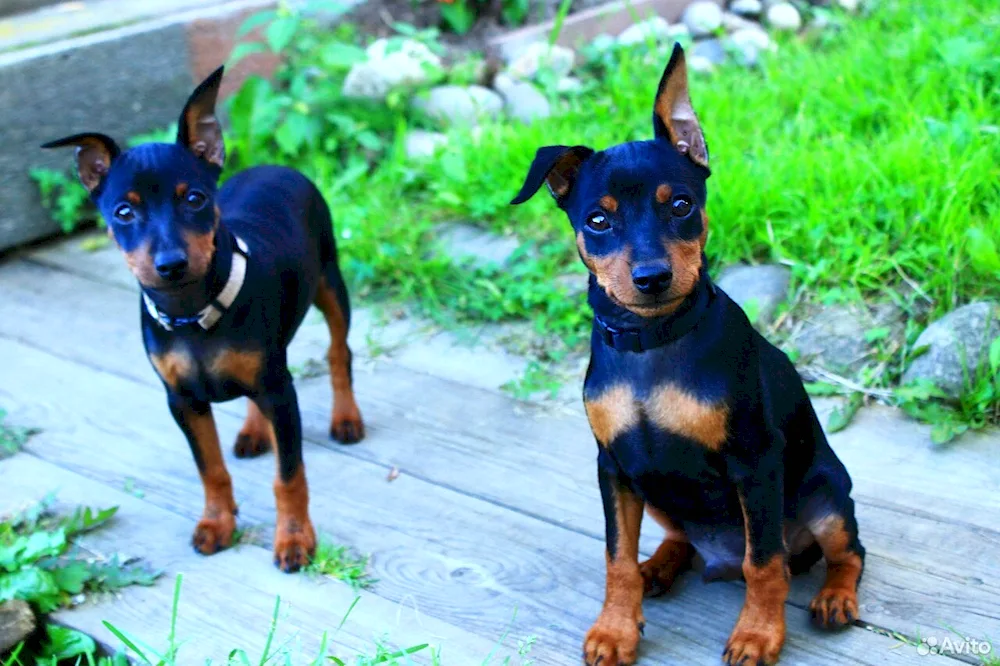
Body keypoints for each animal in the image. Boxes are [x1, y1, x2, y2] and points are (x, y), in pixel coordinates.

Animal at [43, 67, 366, 572]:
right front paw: (217, 524)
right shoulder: (183, 400)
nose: (170, 264)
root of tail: (274, 166)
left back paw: (346, 416)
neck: (193, 314)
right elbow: (210, 469)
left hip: (330, 284)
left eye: (194, 198)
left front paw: (294, 538)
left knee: (339, 351)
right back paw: (255, 431)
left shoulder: (280, 392)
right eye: (123, 211)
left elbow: (289, 476)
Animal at [512, 44, 864, 660]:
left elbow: (764, 563)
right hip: (654, 488)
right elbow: (616, 557)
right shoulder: (614, 467)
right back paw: (659, 566)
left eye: (680, 205)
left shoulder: (755, 463)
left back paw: (835, 597)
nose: (651, 278)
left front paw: (757, 634)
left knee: (840, 551)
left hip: (824, 496)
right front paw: (615, 628)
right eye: (597, 220)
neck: (652, 342)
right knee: (680, 537)